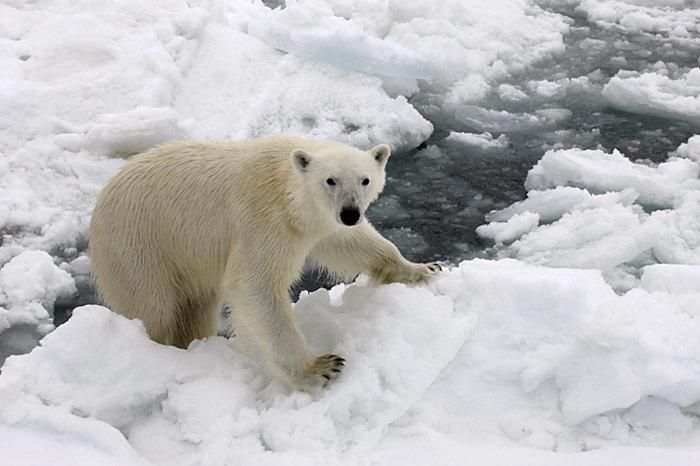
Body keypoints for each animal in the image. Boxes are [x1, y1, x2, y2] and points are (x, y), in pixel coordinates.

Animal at [86, 135, 438, 390]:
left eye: (365, 179)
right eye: (330, 180)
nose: (350, 212)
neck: (286, 183)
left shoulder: (316, 224)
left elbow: (351, 242)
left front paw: (423, 269)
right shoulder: (263, 220)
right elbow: (255, 286)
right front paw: (319, 369)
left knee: (196, 307)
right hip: (139, 246)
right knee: (153, 309)